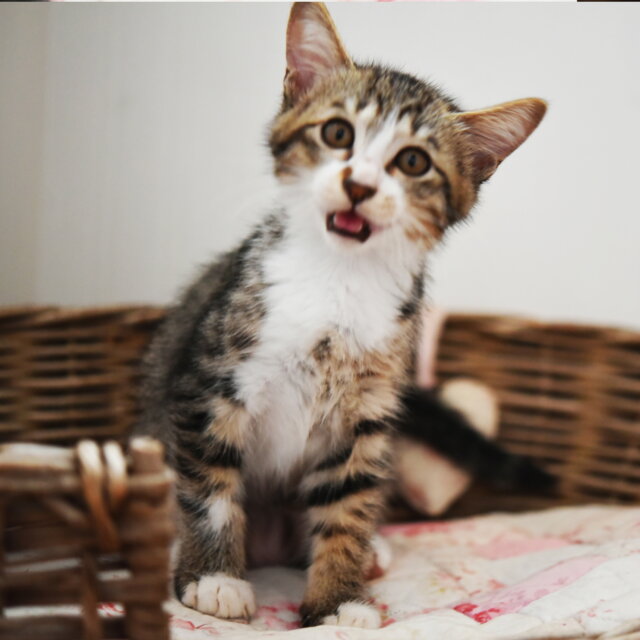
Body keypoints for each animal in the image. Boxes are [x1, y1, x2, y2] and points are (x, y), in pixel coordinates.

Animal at [138, 2, 552, 629]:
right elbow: (211, 491)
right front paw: (213, 578)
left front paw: (336, 599)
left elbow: (348, 506)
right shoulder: (208, 382)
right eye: (337, 133)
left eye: (413, 161)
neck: (338, 278)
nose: (358, 184)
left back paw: (370, 553)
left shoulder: (367, 414)